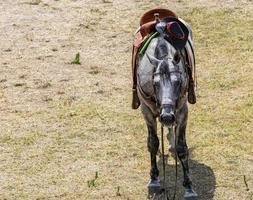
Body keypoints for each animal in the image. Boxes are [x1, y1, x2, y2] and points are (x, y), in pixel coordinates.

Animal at [136, 23, 198, 198]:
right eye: (155, 83)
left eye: (178, 82)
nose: (167, 117)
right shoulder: (147, 111)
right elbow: (153, 143)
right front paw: (154, 180)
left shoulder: (182, 112)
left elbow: (182, 147)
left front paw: (189, 187)